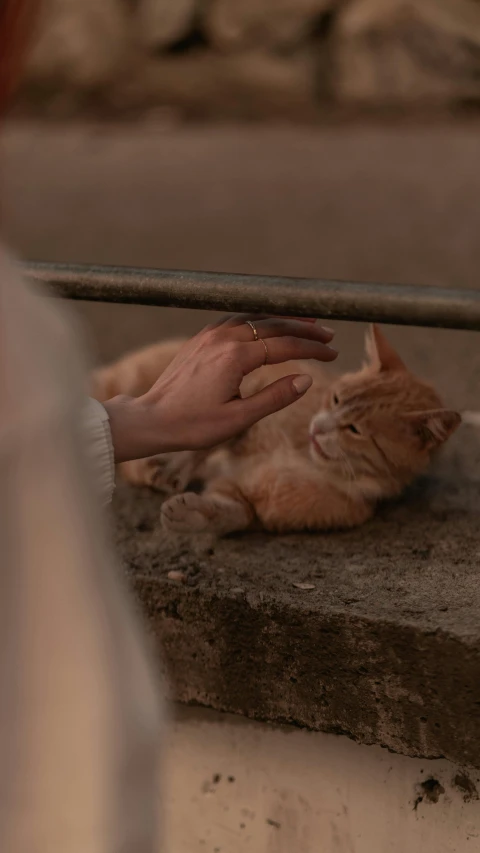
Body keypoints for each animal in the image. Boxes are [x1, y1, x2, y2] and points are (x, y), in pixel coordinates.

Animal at [91, 328, 462, 540]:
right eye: (335, 398)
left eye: (355, 430)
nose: (318, 427)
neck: (304, 458)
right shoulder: (248, 394)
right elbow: (215, 437)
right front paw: (177, 465)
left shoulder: (251, 502)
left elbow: (233, 513)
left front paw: (193, 515)